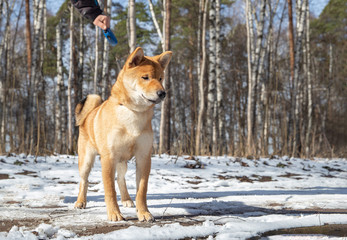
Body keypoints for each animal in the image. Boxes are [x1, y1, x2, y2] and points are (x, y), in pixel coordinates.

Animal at [75, 46, 173, 221]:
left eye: (161, 78)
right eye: (145, 77)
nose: (162, 93)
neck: (133, 113)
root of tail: (88, 115)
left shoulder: (143, 157)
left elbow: (141, 190)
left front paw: (144, 213)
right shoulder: (108, 158)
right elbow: (110, 190)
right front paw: (114, 213)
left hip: (122, 161)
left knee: (120, 179)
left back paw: (127, 199)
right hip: (86, 160)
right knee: (84, 181)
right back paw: (81, 202)